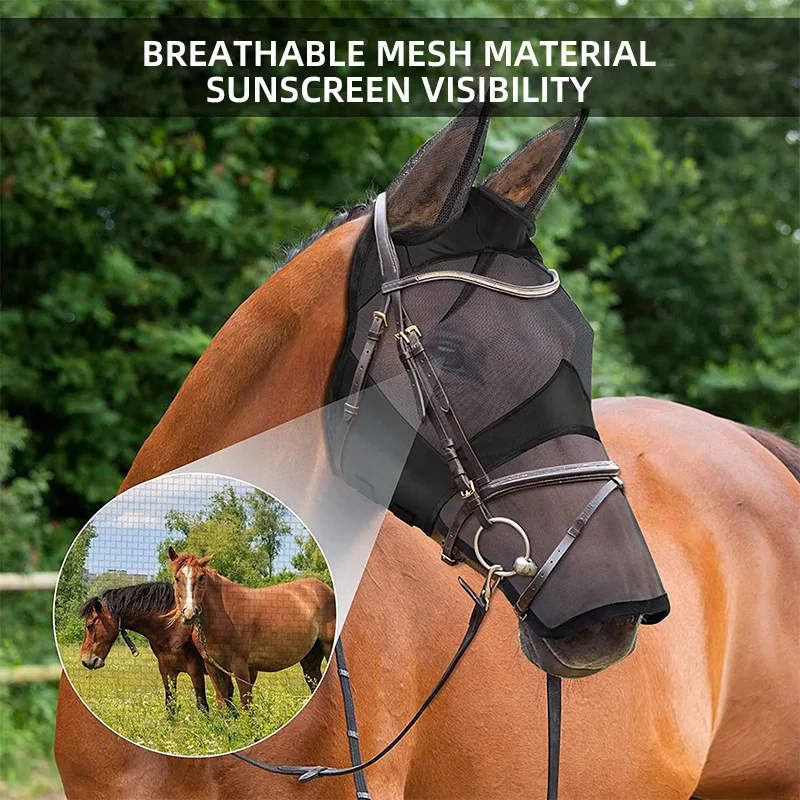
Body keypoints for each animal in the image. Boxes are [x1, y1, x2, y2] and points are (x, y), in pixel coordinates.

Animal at [78, 582, 209, 714]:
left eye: (90, 626)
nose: (85, 661)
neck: (174, 629)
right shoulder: (167, 670)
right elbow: (170, 704)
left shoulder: (195, 670)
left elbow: (203, 706)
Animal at [167, 548, 336, 709]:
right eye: (177, 578)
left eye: (201, 577)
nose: (189, 614)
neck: (222, 616)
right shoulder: (214, 667)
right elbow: (223, 705)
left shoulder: (240, 666)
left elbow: (246, 704)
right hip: (310, 656)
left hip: (327, 647)